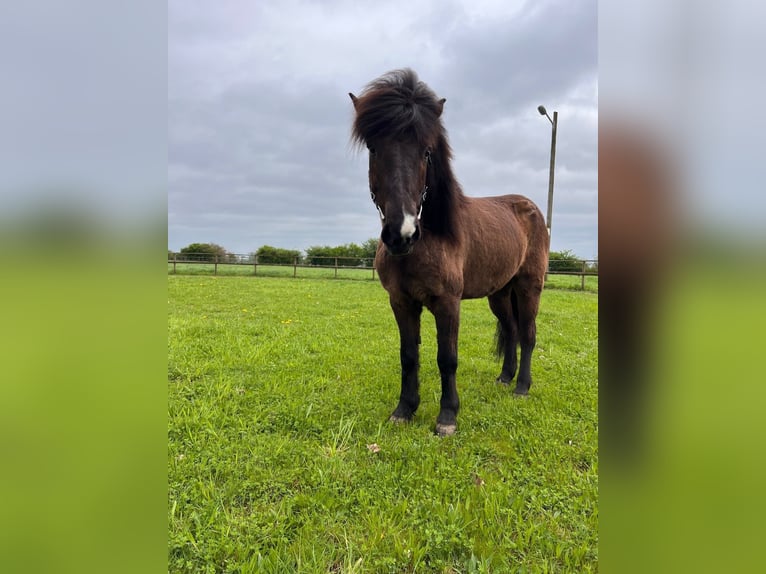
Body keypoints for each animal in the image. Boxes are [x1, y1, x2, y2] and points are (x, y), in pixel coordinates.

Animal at [352, 68, 548, 436]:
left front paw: (447, 417)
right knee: (512, 330)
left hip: (530, 286)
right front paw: (404, 409)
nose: (401, 234)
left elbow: (447, 358)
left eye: (426, 152)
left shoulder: (447, 303)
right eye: (372, 148)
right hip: (499, 294)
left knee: (528, 334)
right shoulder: (401, 302)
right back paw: (504, 378)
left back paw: (521, 387)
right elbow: (408, 356)